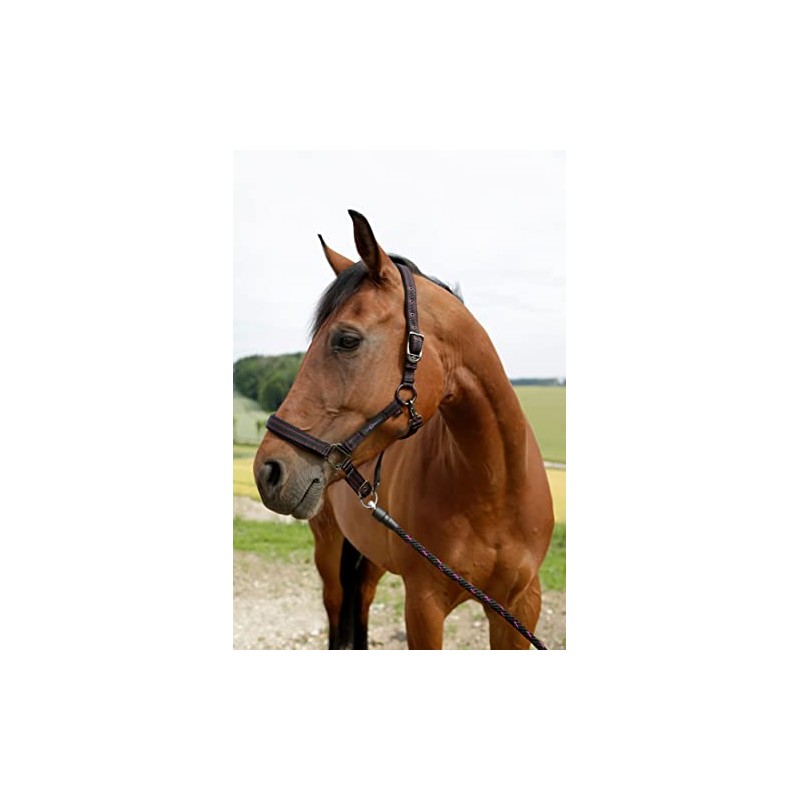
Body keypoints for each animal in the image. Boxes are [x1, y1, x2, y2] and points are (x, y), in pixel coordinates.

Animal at [253, 210, 554, 649]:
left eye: (347, 340)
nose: (268, 471)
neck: (494, 490)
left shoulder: (520, 607)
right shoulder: (424, 605)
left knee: (361, 598)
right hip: (328, 546)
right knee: (336, 604)